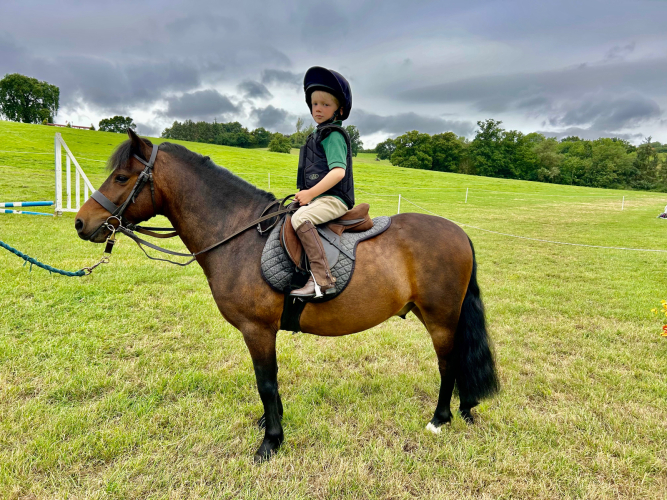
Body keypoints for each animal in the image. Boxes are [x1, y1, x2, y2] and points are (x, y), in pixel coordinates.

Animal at [74, 129, 499, 462]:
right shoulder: (265, 332)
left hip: (440, 318)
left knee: (448, 364)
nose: (81, 223)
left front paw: (271, 442)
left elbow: (266, 382)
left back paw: (440, 418)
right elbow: (270, 384)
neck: (239, 235)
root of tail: (459, 233)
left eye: (122, 176)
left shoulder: (257, 329)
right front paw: (271, 422)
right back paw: (465, 408)